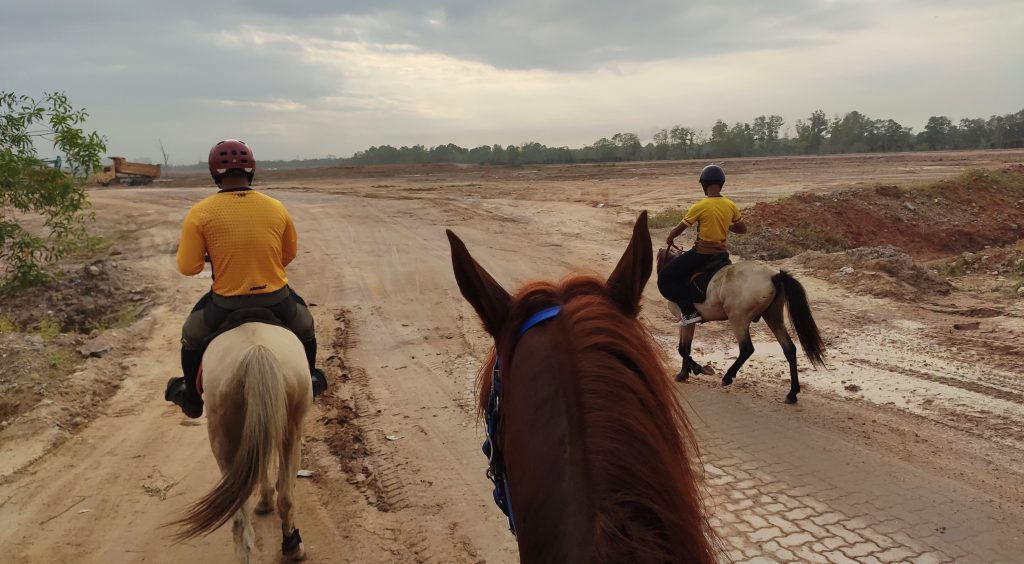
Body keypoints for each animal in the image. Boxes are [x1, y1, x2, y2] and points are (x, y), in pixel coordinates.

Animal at [165, 319, 311, 560]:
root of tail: (257, 351)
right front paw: (266, 499)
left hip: (226, 440)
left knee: (242, 519)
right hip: (288, 430)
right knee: (281, 500)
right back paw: (293, 547)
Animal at [655, 247, 831, 401]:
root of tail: (774, 276)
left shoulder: (684, 320)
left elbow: (683, 349)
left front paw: (697, 369)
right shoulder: (688, 323)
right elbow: (686, 348)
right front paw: (684, 374)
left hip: (738, 319)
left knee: (747, 349)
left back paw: (727, 377)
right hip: (773, 317)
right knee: (789, 349)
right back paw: (792, 393)